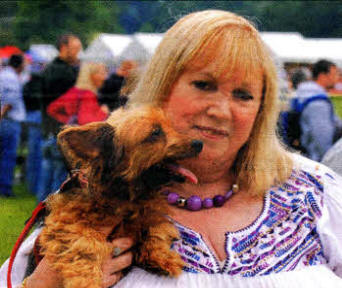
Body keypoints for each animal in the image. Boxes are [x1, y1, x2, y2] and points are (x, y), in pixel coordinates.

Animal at [38, 106, 203, 288]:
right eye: (155, 133)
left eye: (171, 127)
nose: (199, 143)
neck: (126, 197)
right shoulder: (67, 226)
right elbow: (87, 246)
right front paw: (87, 281)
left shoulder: (149, 215)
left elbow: (155, 229)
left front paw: (161, 257)